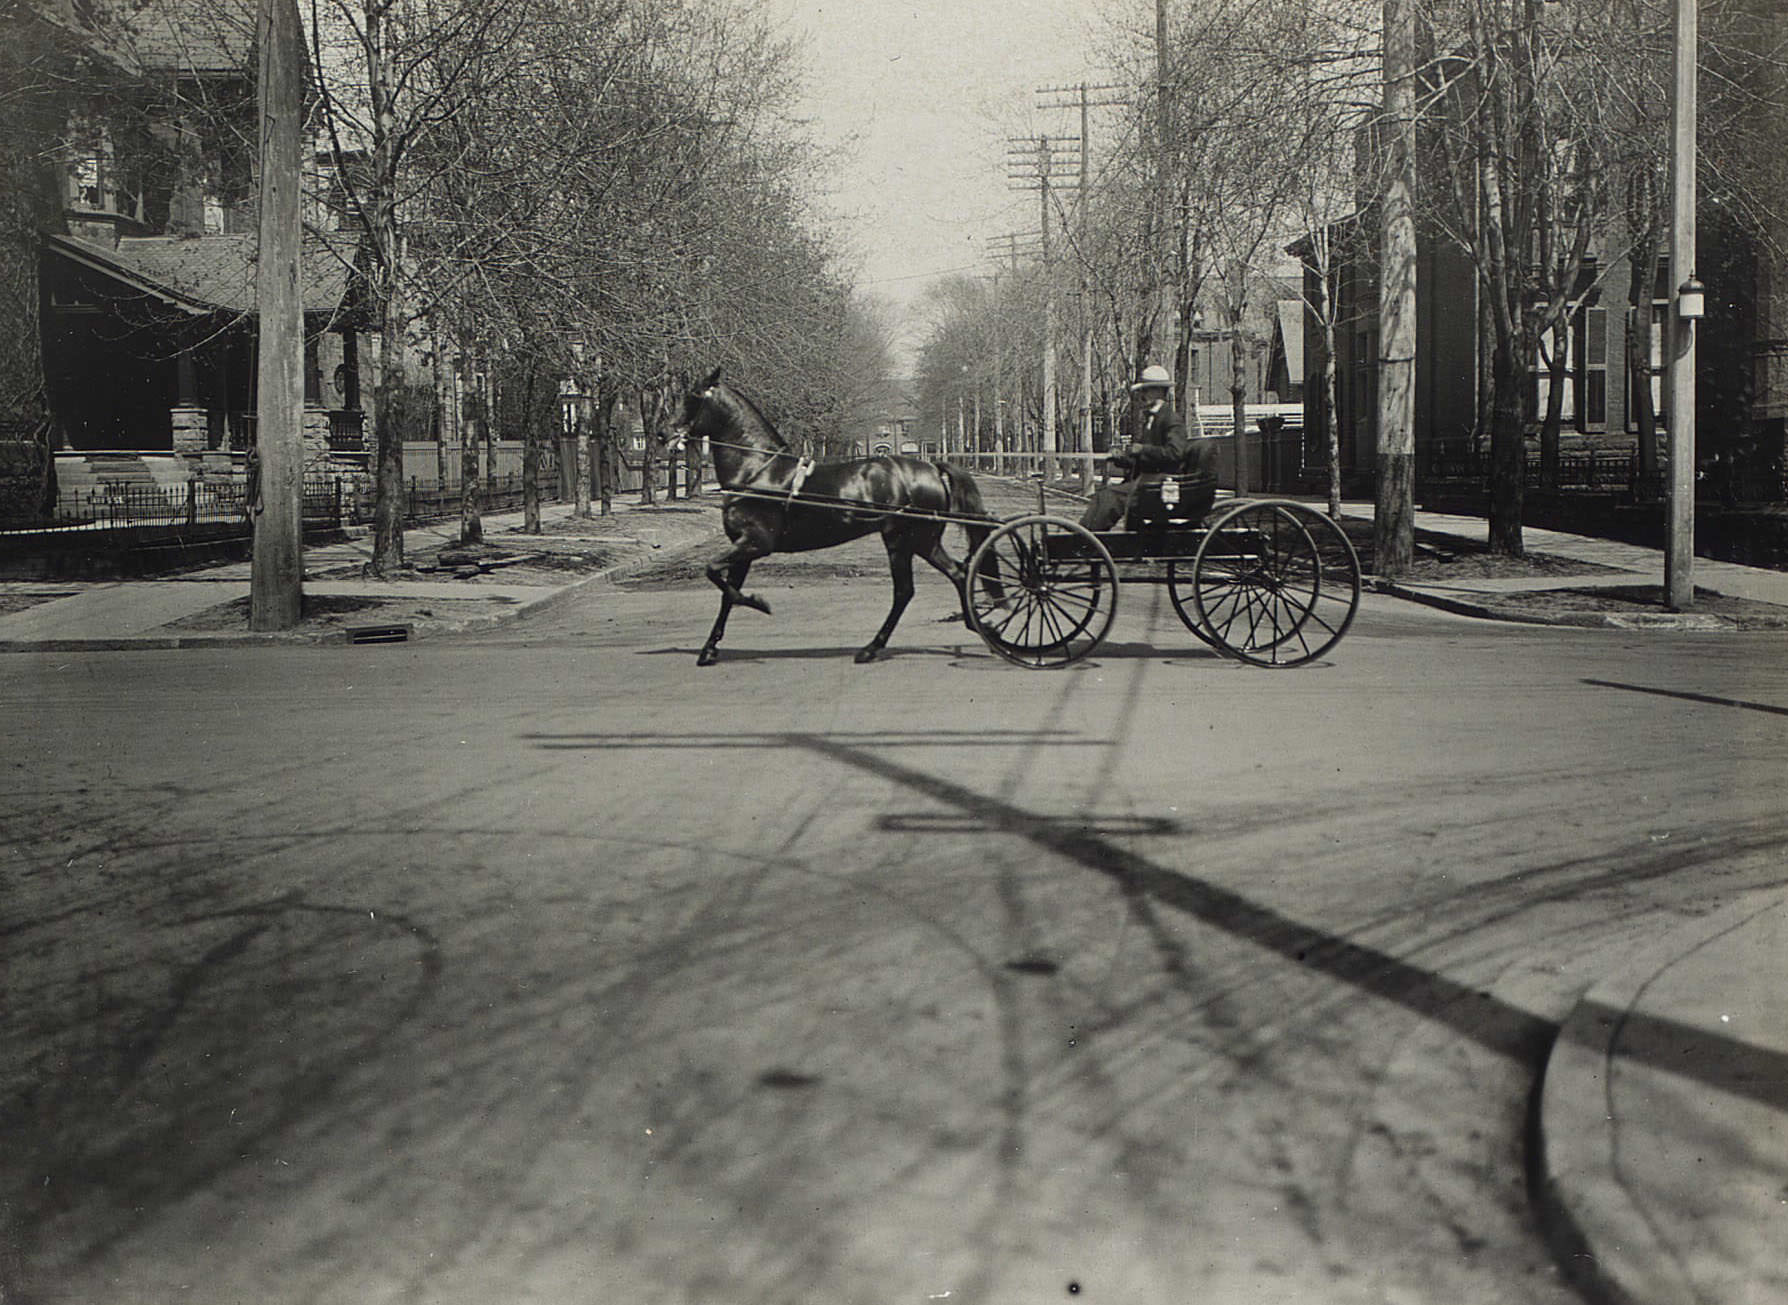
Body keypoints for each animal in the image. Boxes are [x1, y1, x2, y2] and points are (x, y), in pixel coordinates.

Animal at [665, 371, 1001, 665]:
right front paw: (709, 650)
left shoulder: (756, 543)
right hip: (918, 542)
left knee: (912, 588)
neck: (758, 471)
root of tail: (932, 468)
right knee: (952, 576)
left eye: (693, 397)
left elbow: (714, 573)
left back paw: (875, 647)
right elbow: (726, 593)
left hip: (908, 540)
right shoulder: (743, 548)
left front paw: (758, 603)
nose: (662, 432)